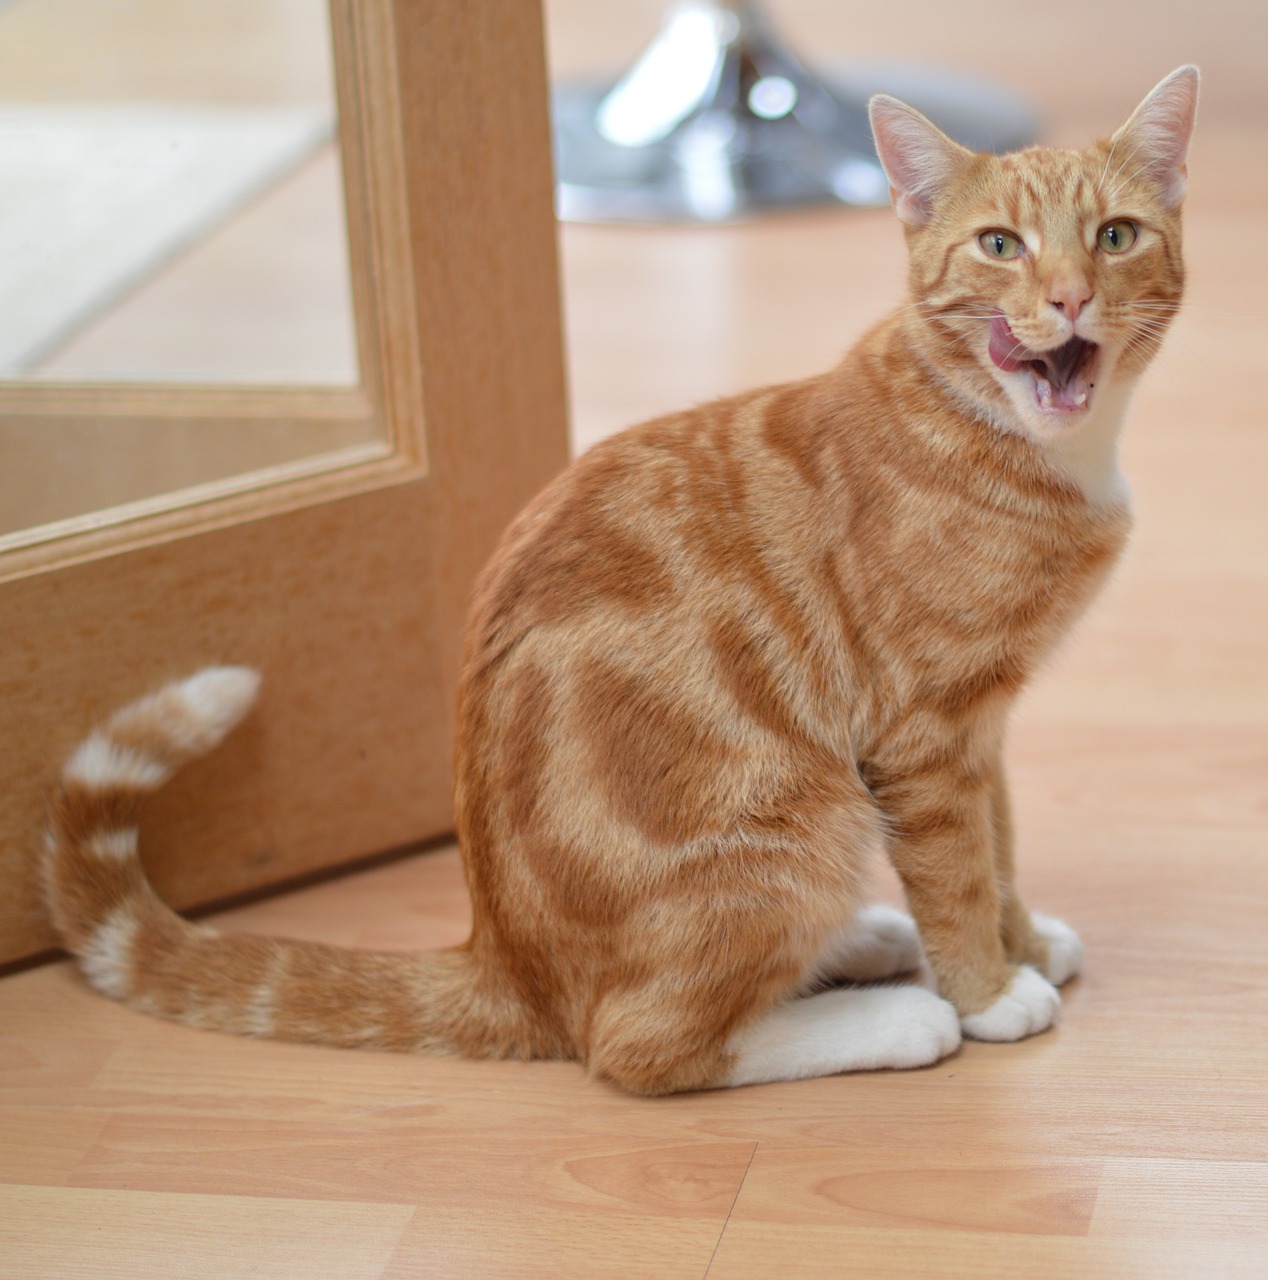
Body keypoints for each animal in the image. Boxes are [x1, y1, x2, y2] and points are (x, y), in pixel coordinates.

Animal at [42, 70, 1197, 1095]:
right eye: (1000, 245)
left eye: (1115, 236)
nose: (1067, 297)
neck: (1016, 436)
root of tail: (504, 960)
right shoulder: (923, 730)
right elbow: (955, 871)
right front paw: (984, 990)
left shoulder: (978, 726)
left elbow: (994, 845)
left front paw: (1018, 941)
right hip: (805, 816)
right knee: (640, 1044)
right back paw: (895, 1013)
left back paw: (866, 941)